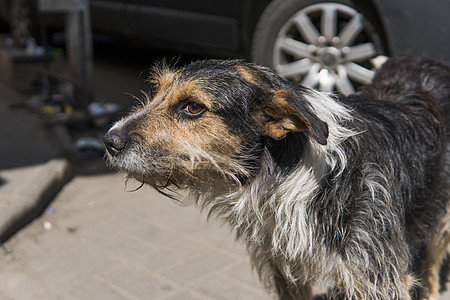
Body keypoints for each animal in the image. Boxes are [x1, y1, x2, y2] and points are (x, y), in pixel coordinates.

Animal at [104, 56, 450, 300]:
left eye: (193, 107)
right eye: (157, 92)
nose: (109, 140)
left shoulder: (376, 276)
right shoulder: (285, 270)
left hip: (440, 223)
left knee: (432, 273)